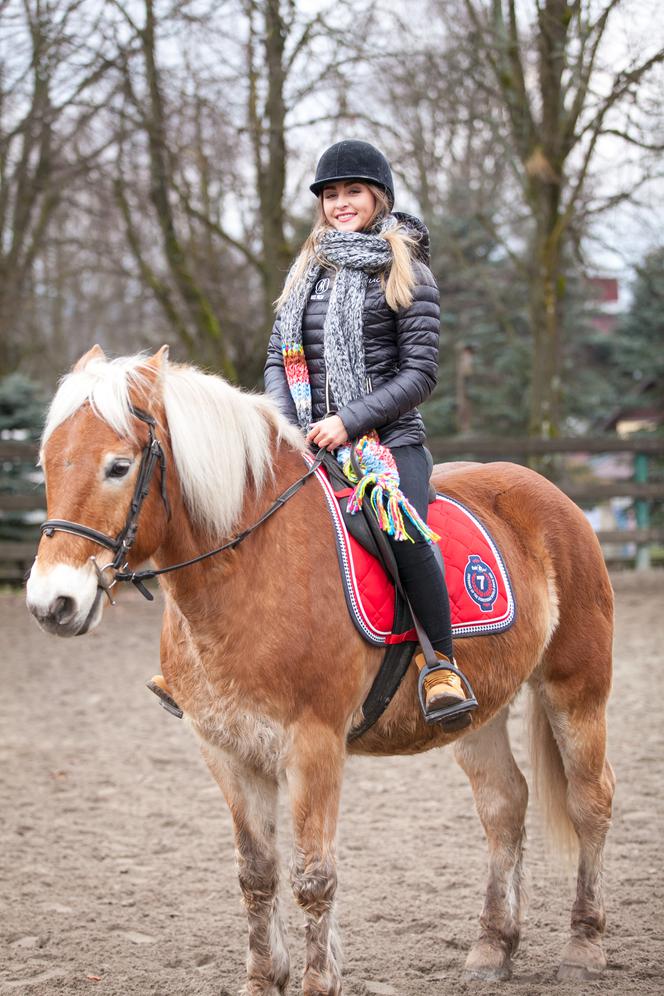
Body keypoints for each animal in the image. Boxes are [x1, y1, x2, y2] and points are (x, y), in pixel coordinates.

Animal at [28, 346, 616, 992]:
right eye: (47, 465)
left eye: (118, 466)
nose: (52, 604)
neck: (249, 567)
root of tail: (550, 494)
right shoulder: (227, 750)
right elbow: (256, 874)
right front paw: (265, 978)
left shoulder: (313, 745)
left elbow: (313, 878)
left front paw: (317, 980)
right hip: (480, 710)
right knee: (504, 807)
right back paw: (492, 947)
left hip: (576, 690)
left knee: (591, 801)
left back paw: (584, 944)